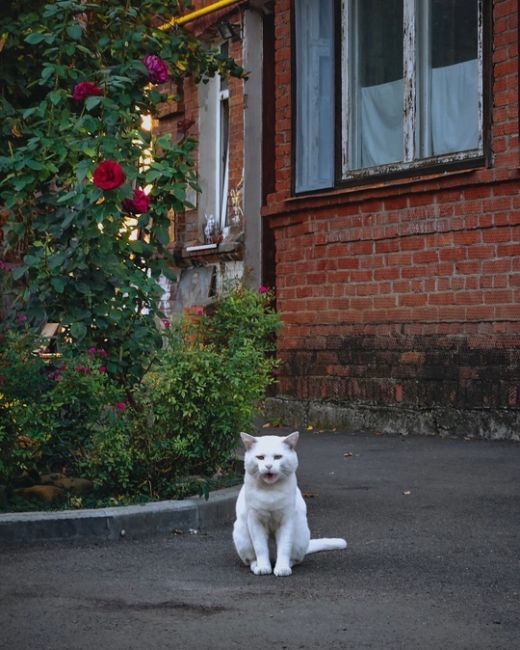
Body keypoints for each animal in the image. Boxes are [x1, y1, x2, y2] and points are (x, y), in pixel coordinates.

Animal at [234, 432, 348, 576]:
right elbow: (260, 548)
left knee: (294, 559)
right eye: (260, 457)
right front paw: (263, 567)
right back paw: (256, 566)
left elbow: (284, 548)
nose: (268, 466)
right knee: (251, 559)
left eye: (278, 457)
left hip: (300, 535)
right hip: (242, 534)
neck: (270, 490)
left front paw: (282, 568)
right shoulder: (255, 520)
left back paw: (286, 564)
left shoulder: (287, 520)